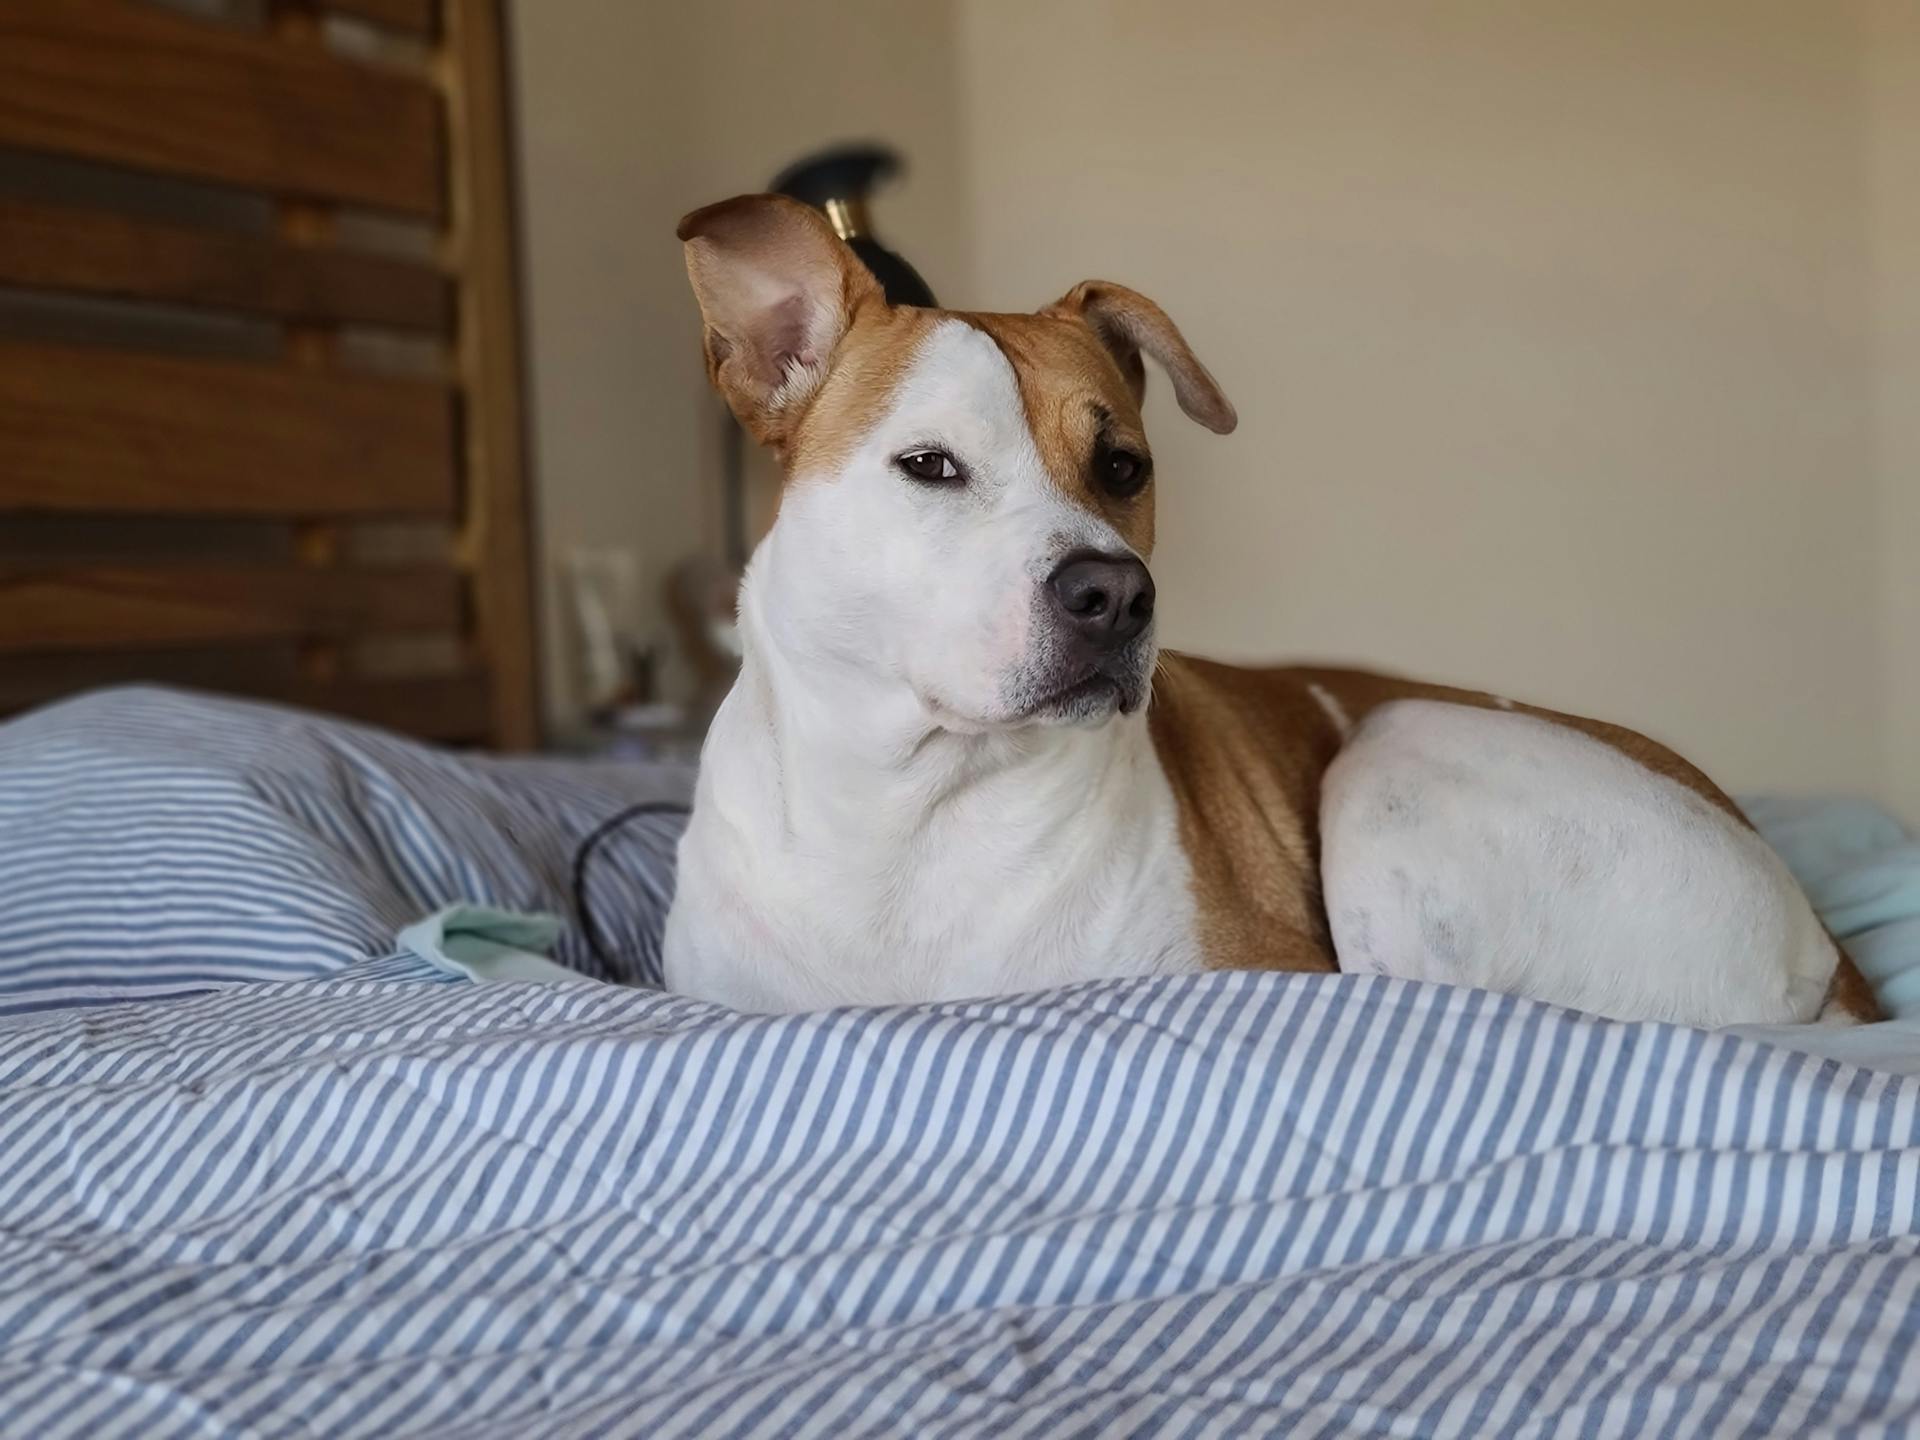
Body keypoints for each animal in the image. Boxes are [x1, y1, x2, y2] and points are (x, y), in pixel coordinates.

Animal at [660, 194, 1873, 1029]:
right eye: (929, 465)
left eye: (1123, 467)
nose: (1116, 595)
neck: (904, 812)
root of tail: (1823, 946)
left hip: (1400, 748)